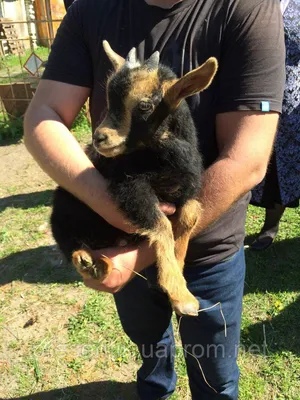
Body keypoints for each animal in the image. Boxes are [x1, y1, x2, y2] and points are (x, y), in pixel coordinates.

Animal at [50, 40, 217, 316]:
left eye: (145, 106)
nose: (100, 138)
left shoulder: (187, 189)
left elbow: (190, 215)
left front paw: (179, 265)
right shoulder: (130, 186)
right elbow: (161, 225)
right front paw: (181, 295)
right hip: (65, 206)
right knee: (65, 238)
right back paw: (85, 260)